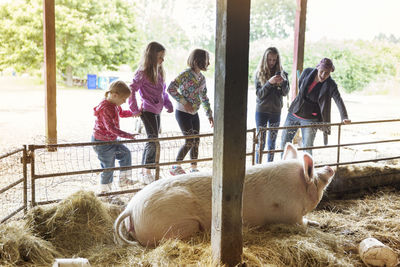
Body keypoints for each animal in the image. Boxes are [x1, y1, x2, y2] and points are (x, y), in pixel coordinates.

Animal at [113, 143, 334, 248]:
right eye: (317, 177)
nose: (330, 168)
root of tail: (131, 209)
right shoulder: (290, 215)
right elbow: (303, 223)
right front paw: (317, 224)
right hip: (179, 225)